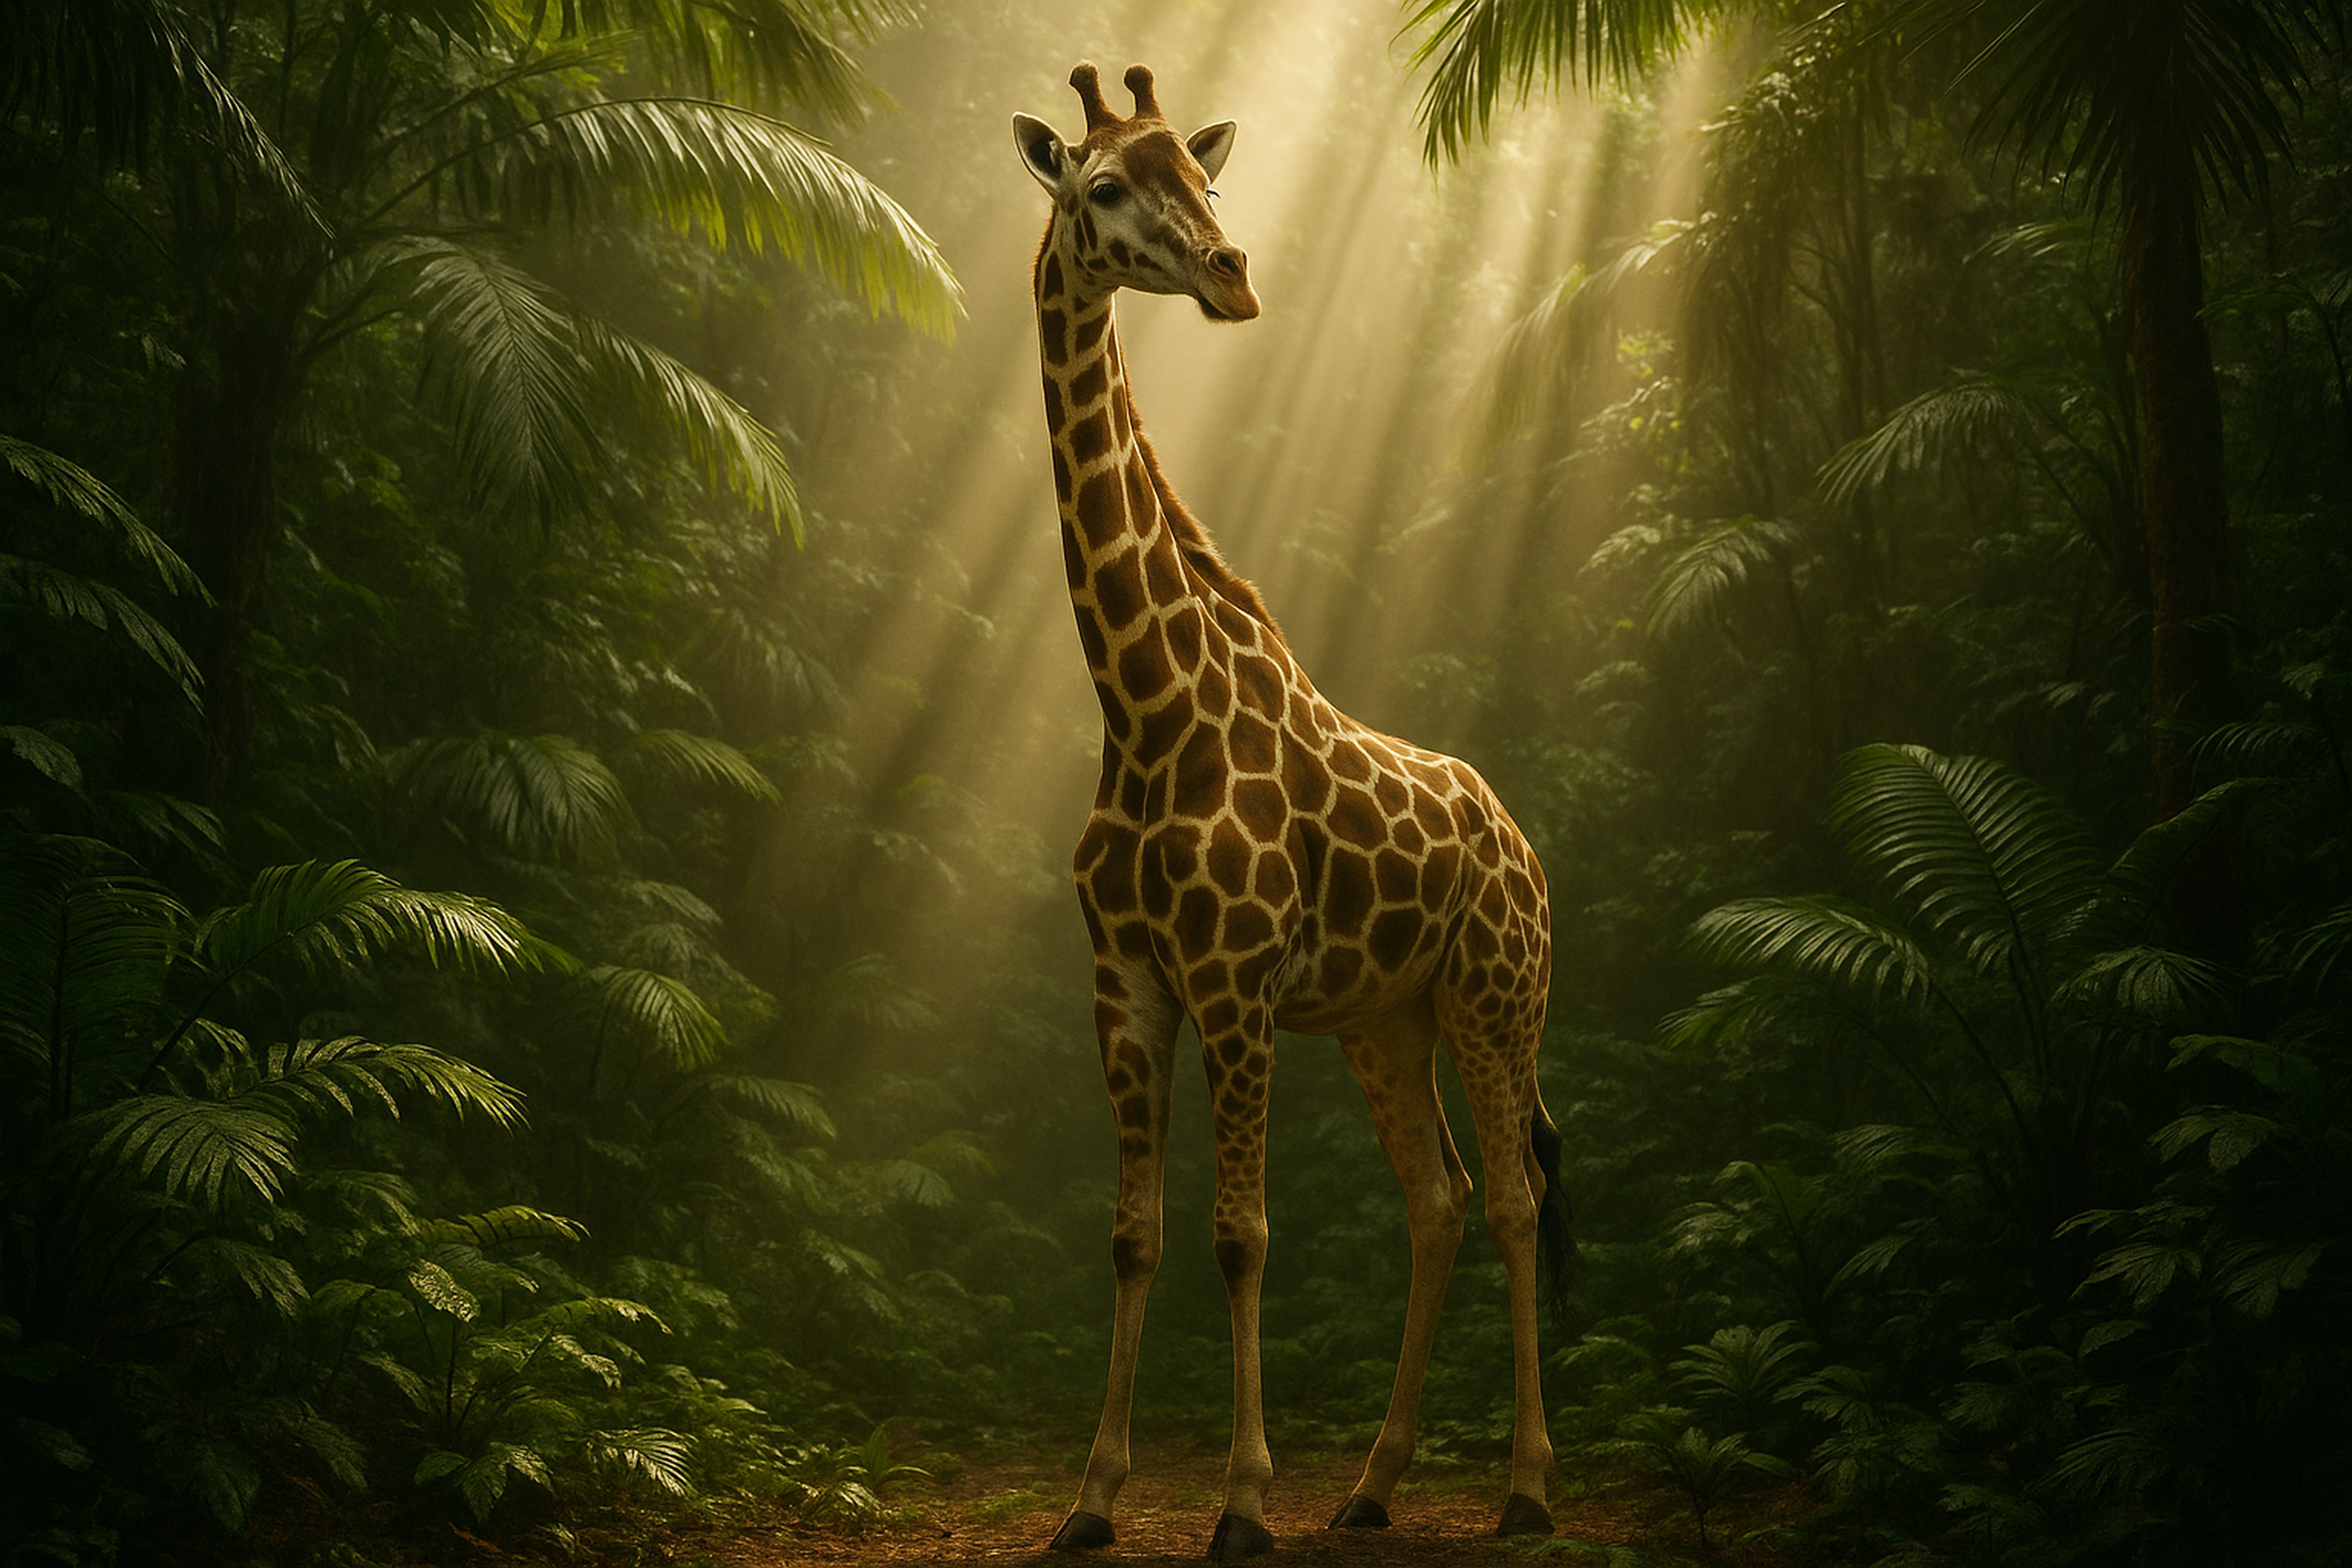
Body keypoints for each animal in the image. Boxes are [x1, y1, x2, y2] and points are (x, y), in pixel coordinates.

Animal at [1014, 63, 1570, 1561]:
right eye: (1103, 186)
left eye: (1204, 177)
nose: (1233, 274)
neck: (1141, 709)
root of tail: (1522, 841)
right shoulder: (1127, 980)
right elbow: (1135, 1233)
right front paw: (1092, 1498)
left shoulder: (1237, 981)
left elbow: (1242, 1232)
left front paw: (1244, 1502)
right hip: (1391, 1017)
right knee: (1438, 1200)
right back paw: (1372, 1484)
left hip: (1496, 994)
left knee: (1512, 1194)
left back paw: (1525, 1485)